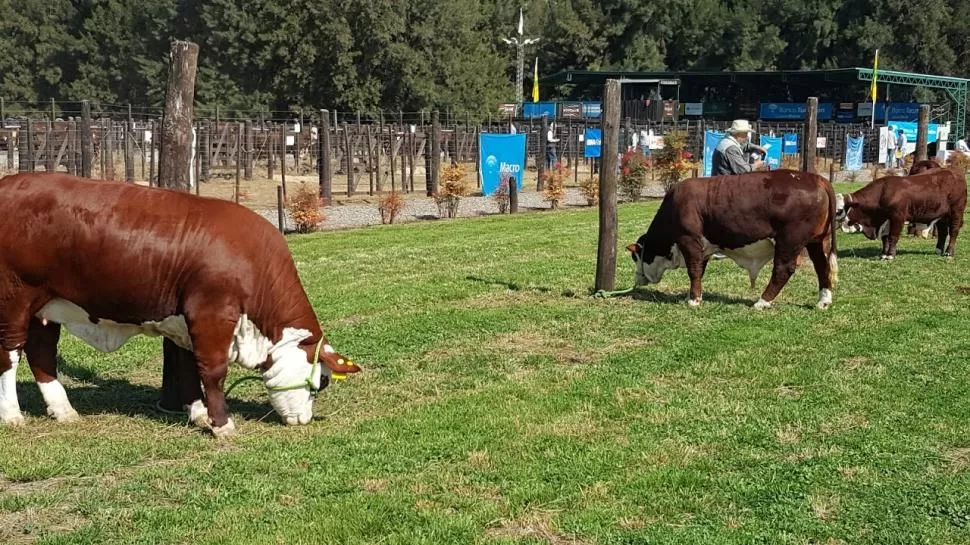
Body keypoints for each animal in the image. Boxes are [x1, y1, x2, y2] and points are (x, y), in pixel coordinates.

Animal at [0, 172, 360, 436]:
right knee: (10, 353)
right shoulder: (211, 313)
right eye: (323, 381)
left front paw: (199, 413)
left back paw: (63, 409)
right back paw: (12, 413)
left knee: (41, 351)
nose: (304, 419)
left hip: (46, 305)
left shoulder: (187, 321)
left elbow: (186, 365)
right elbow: (213, 370)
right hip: (14, 298)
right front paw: (221, 424)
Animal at [624, 172, 836, 310]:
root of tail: (816, 178)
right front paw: (692, 295)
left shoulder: (689, 240)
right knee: (822, 266)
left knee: (783, 269)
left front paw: (694, 301)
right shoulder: (703, 247)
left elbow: (693, 270)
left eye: (636, 257)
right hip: (817, 240)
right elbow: (699, 270)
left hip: (789, 240)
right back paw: (823, 301)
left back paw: (762, 302)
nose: (637, 279)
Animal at [836, 159, 964, 260]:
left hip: (956, 212)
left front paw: (890, 255)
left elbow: (893, 236)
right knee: (943, 232)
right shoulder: (885, 220)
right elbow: (885, 238)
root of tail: (954, 172)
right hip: (941, 216)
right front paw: (884, 254)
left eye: (839, 210)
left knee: (953, 231)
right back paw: (938, 250)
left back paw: (949, 253)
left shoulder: (898, 218)